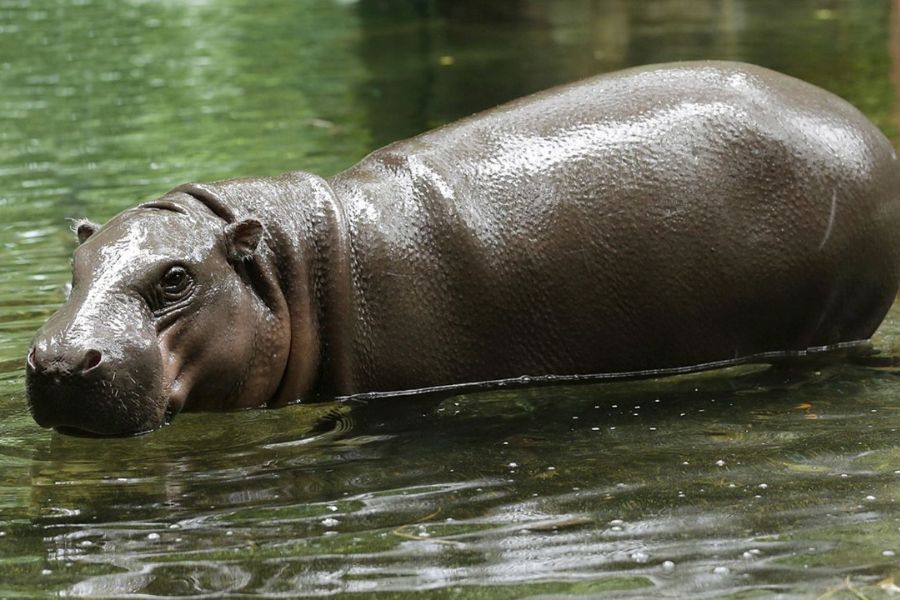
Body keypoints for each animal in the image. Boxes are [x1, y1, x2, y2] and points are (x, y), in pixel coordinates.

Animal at [26, 61, 900, 435]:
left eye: (176, 279)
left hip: (829, 323)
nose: (61, 360)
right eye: (73, 268)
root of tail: (868, 131)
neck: (295, 262)